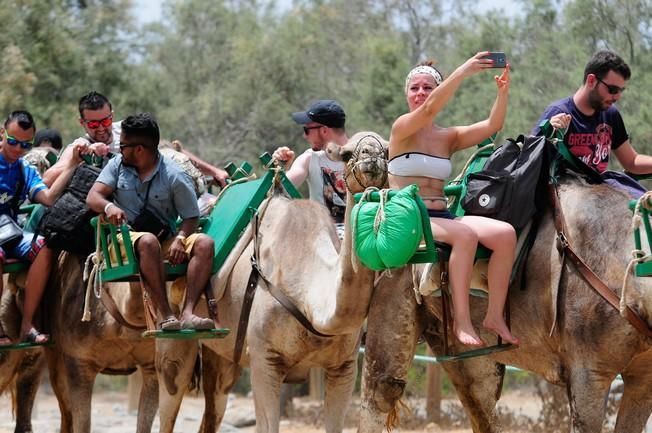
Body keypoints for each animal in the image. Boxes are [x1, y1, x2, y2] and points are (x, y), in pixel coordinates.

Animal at [155, 131, 404, 432]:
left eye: (387, 150)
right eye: (346, 154)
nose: (372, 156)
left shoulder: (344, 366)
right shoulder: (265, 360)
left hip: (222, 352)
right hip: (173, 335)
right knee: (169, 390)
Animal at [356, 172, 652, 432]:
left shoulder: (642, 378)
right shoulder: (588, 374)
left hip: (460, 342)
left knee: (480, 399)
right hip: (393, 288)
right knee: (383, 388)